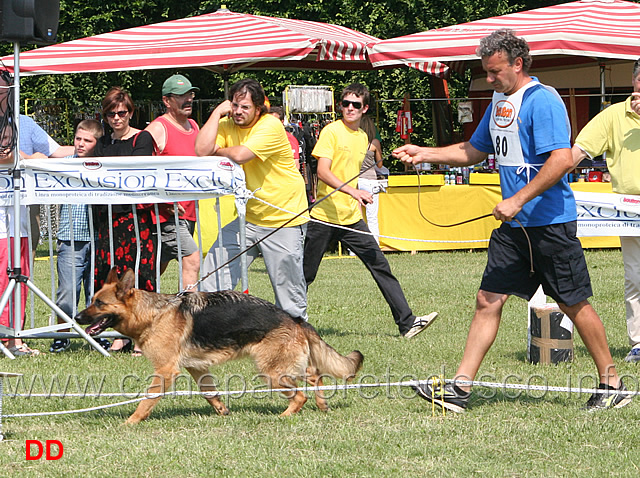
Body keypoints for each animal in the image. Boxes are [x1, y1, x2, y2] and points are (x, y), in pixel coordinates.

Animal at [74, 268, 364, 424]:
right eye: (92, 300)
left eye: (99, 303)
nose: (76, 317)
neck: (153, 314)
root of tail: (294, 318)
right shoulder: (197, 369)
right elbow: (209, 392)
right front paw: (222, 410)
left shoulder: (165, 371)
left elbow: (148, 399)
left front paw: (132, 421)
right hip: (287, 366)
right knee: (316, 376)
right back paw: (322, 405)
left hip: (272, 372)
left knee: (301, 394)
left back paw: (285, 416)